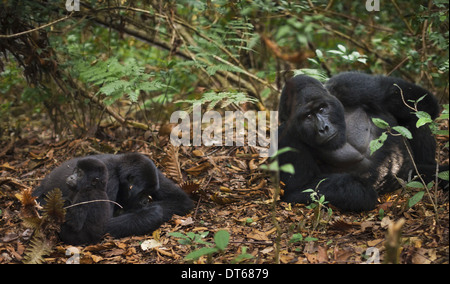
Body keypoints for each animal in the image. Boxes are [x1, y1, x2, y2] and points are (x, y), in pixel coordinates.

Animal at [31, 153, 193, 244]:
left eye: (150, 192)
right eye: (142, 193)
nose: (146, 201)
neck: (119, 169)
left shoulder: (154, 172)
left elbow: (181, 201)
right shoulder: (109, 179)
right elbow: (100, 226)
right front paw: (153, 212)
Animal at [280, 72, 448, 212]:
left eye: (322, 108)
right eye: (308, 116)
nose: (323, 128)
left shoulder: (349, 84)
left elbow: (417, 100)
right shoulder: (287, 139)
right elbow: (299, 189)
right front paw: (362, 193)